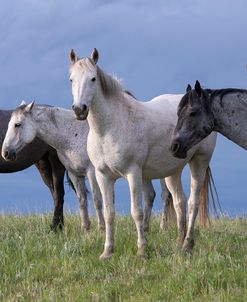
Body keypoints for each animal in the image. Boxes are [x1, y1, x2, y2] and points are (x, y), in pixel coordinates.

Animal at [0, 102, 173, 232]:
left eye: (17, 124)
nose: (6, 152)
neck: (72, 134)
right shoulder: (75, 174)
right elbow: (82, 199)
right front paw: (86, 228)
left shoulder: (92, 172)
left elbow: (97, 199)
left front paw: (101, 227)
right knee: (150, 196)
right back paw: (146, 227)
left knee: (165, 196)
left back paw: (162, 227)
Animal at [68, 48, 217, 258]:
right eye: (71, 79)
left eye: (93, 78)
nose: (79, 110)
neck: (110, 127)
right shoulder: (103, 176)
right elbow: (109, 213)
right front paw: (107, 252)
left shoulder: (133, 173)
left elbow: (137, 212)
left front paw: (141, 250)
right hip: (172, 171)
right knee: (179, 201)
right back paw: (179, 244)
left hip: (199, 162)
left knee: (192, 203)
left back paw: (187, 244)